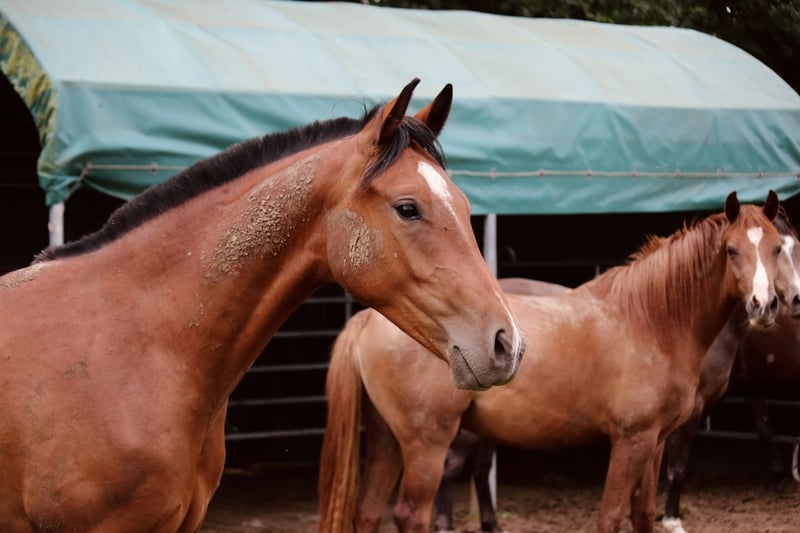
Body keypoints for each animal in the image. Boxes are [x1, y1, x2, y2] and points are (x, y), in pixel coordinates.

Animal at [318, 192, 784, 533]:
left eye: (778, 248)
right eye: (731, 250)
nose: (764, 305)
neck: (650, 320)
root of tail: (367, 319)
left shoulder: (655, 443)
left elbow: (642, 516)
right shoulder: (631, 441)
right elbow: (611, 516)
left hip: (386, 440)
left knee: (369, 511)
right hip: (426, 444)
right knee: (410, 515)